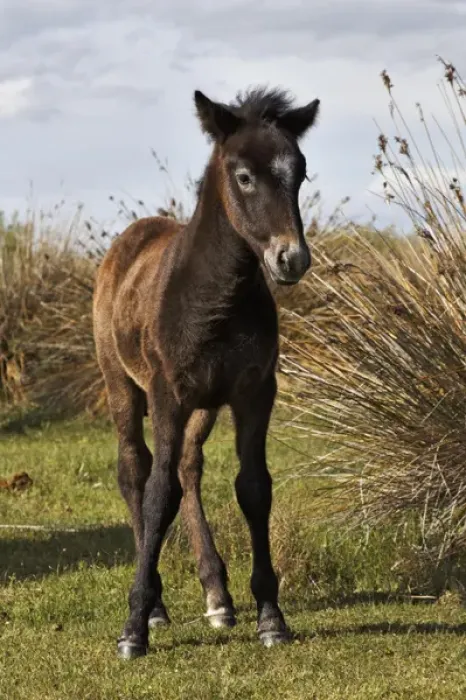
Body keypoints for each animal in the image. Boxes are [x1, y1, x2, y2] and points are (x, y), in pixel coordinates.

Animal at [93, 85, 320, 659]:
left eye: (300, 171)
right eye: (244, 176)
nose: (291, 259)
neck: (216, 296)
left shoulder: (254, 392)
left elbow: (253, 488)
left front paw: (270, 617)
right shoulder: (167, 395)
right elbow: (157, 495)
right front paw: (134, 626)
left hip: (205, 407)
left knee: (188, 467)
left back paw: (217, 596)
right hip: (121, 384)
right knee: (136, 471)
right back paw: (156, 606)